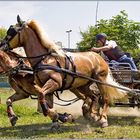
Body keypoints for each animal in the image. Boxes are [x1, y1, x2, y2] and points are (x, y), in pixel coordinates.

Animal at [0, 15, 133, 128]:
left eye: (11, 31)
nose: (1, 45)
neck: (44, 59)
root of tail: (98, 56)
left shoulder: (53, 83)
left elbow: (42, 98)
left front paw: (61, 116)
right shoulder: (41, 88)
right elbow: (45, 102)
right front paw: (55, 119)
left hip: (100, 80)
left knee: (104, 99)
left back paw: (102, 119)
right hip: (82, 85)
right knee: (93, 97)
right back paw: (92, 115)